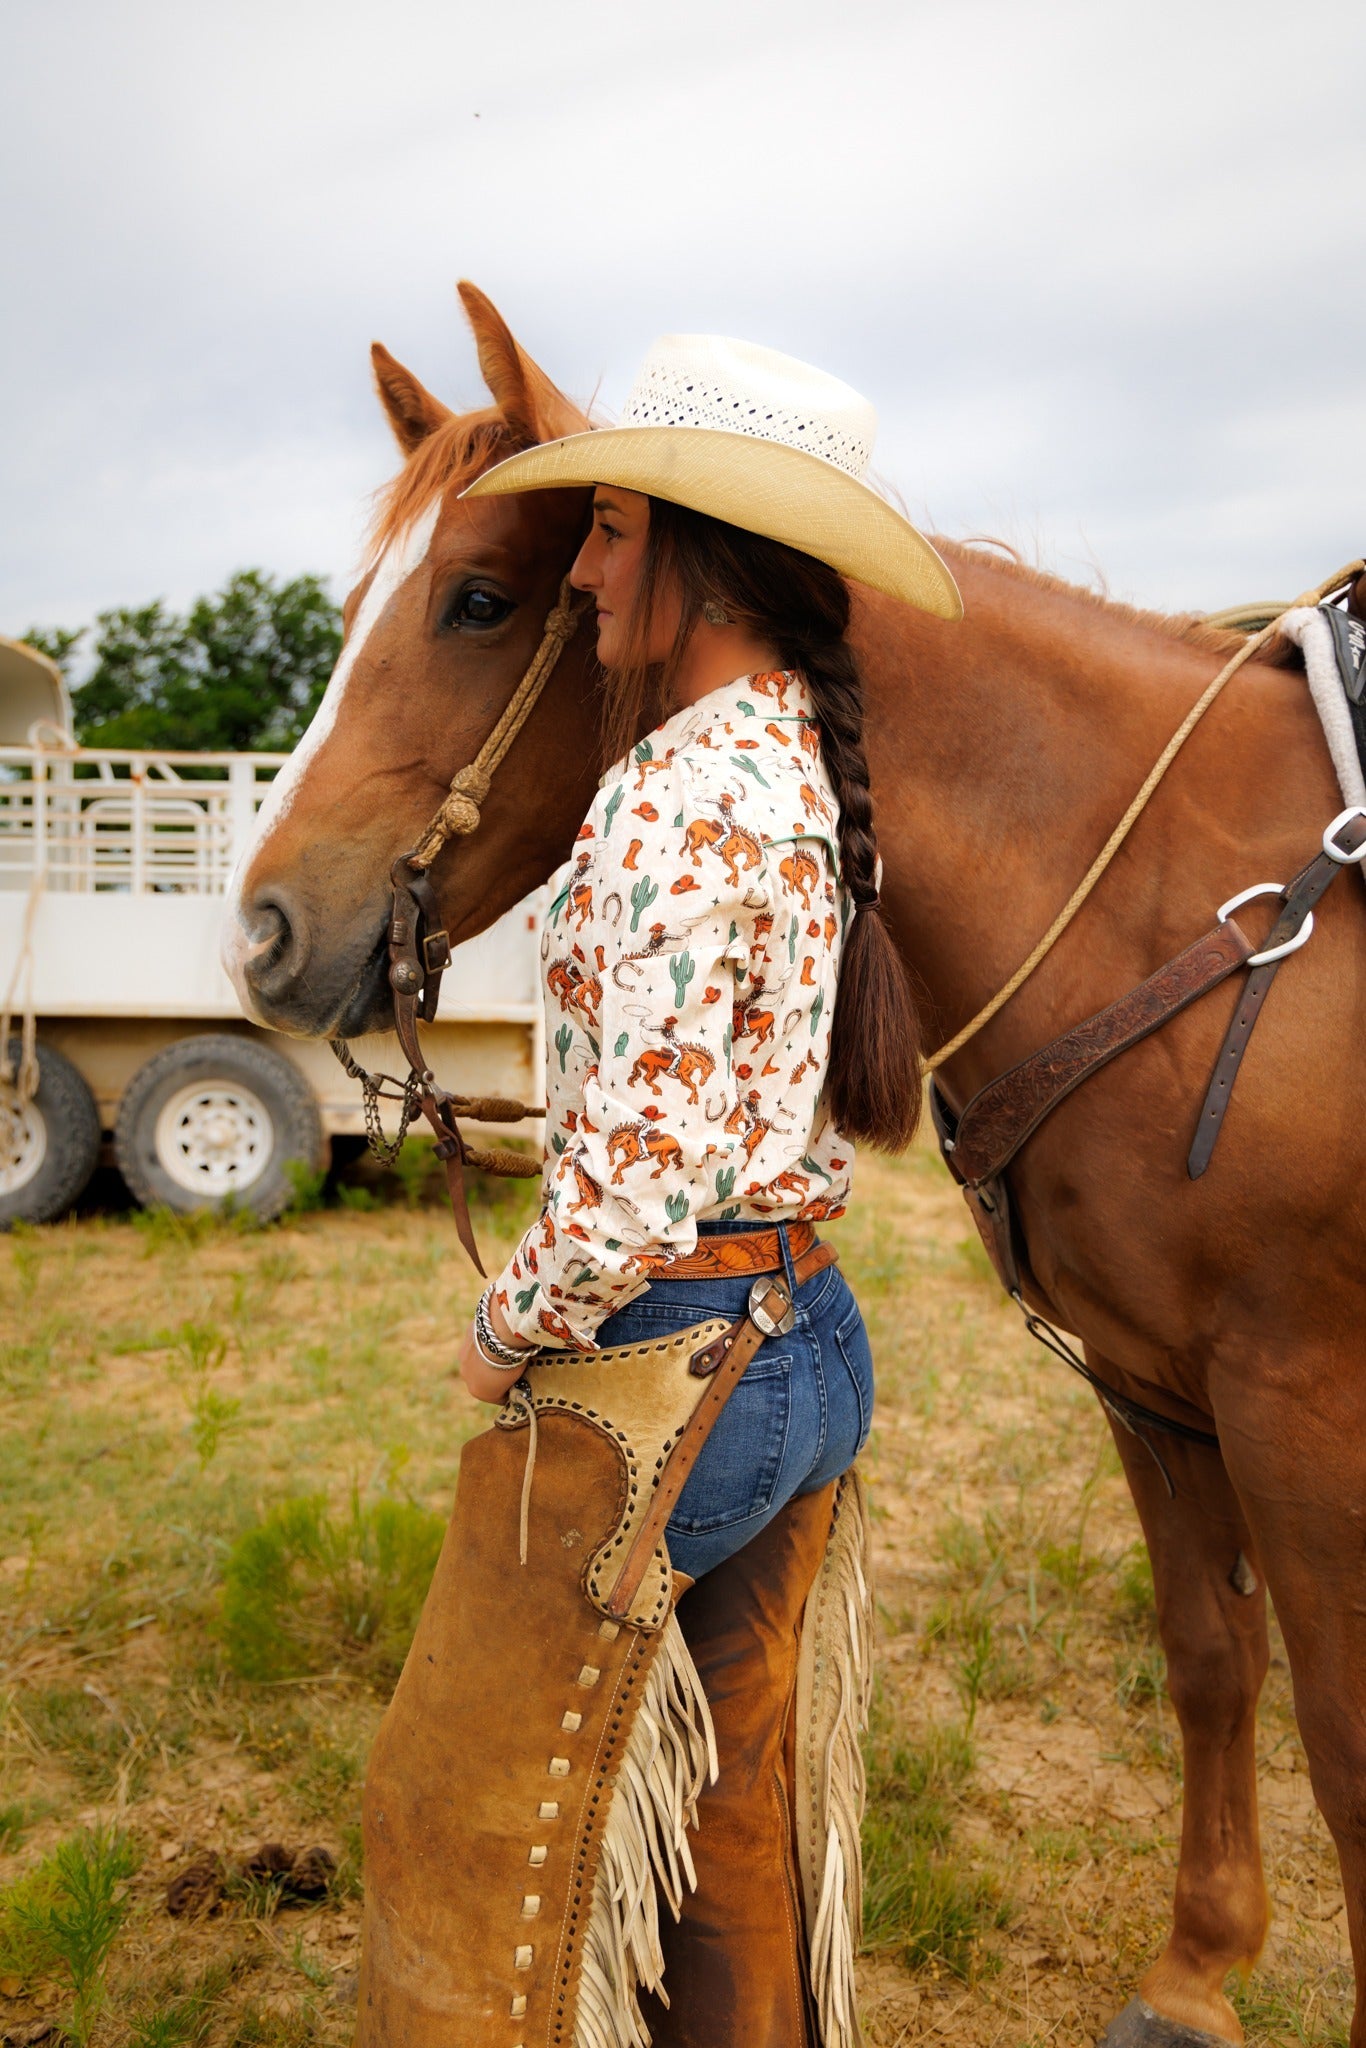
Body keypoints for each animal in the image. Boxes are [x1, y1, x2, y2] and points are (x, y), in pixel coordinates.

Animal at [223, 283, 1366, 2048]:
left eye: (478, 599)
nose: (267, 930)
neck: (1186, 897)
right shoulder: (1155, 1388)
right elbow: (1209, 1658)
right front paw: (1192, 1973)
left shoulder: (1299, 1399)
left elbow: (1346, 1745)